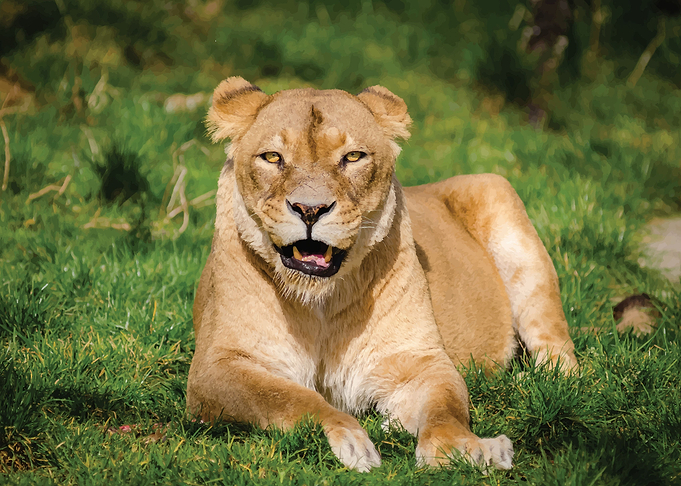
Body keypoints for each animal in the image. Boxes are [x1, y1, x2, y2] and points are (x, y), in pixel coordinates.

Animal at [186, 77, 578, 472]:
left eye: (353, 157)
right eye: (272, 157)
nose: (310, 210)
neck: (319, 304)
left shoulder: (420, 359)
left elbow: (446, 411)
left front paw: (465, 449)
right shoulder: (214, 368)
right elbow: (289, 398)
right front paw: (351, 439)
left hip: (502, 204)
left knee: (563, 359)